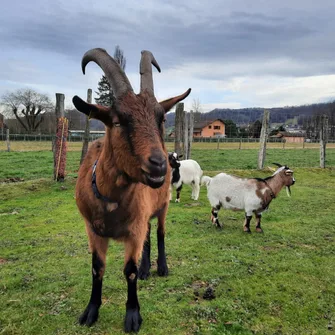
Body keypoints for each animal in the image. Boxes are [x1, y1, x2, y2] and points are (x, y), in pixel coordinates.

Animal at [72, 48, 190, 334]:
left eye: (161, 118)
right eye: (117, 121)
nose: (159, 164)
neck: (110, 202)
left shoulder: (134, 229)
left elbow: (130, 270)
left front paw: (133, 316)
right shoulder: (93, 229)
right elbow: (97, 268)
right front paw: (90, 312)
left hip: (163, 206)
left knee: (158, 233)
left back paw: (161, 267)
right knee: (148, 235)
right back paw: (148, 268)